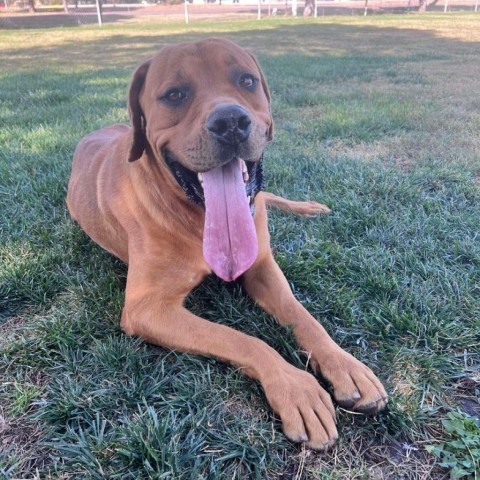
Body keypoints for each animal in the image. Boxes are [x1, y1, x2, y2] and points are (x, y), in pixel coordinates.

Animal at [67, 38, 388, 450]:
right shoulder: (147, 309)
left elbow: (304, 316)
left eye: (246, 80)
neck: (197, 217)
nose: (230, 122)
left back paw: (308, 207)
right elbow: (242, 340)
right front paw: (295, 387)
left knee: (270, 198)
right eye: (175, 94)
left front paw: (345, 365)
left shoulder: (263, 266)